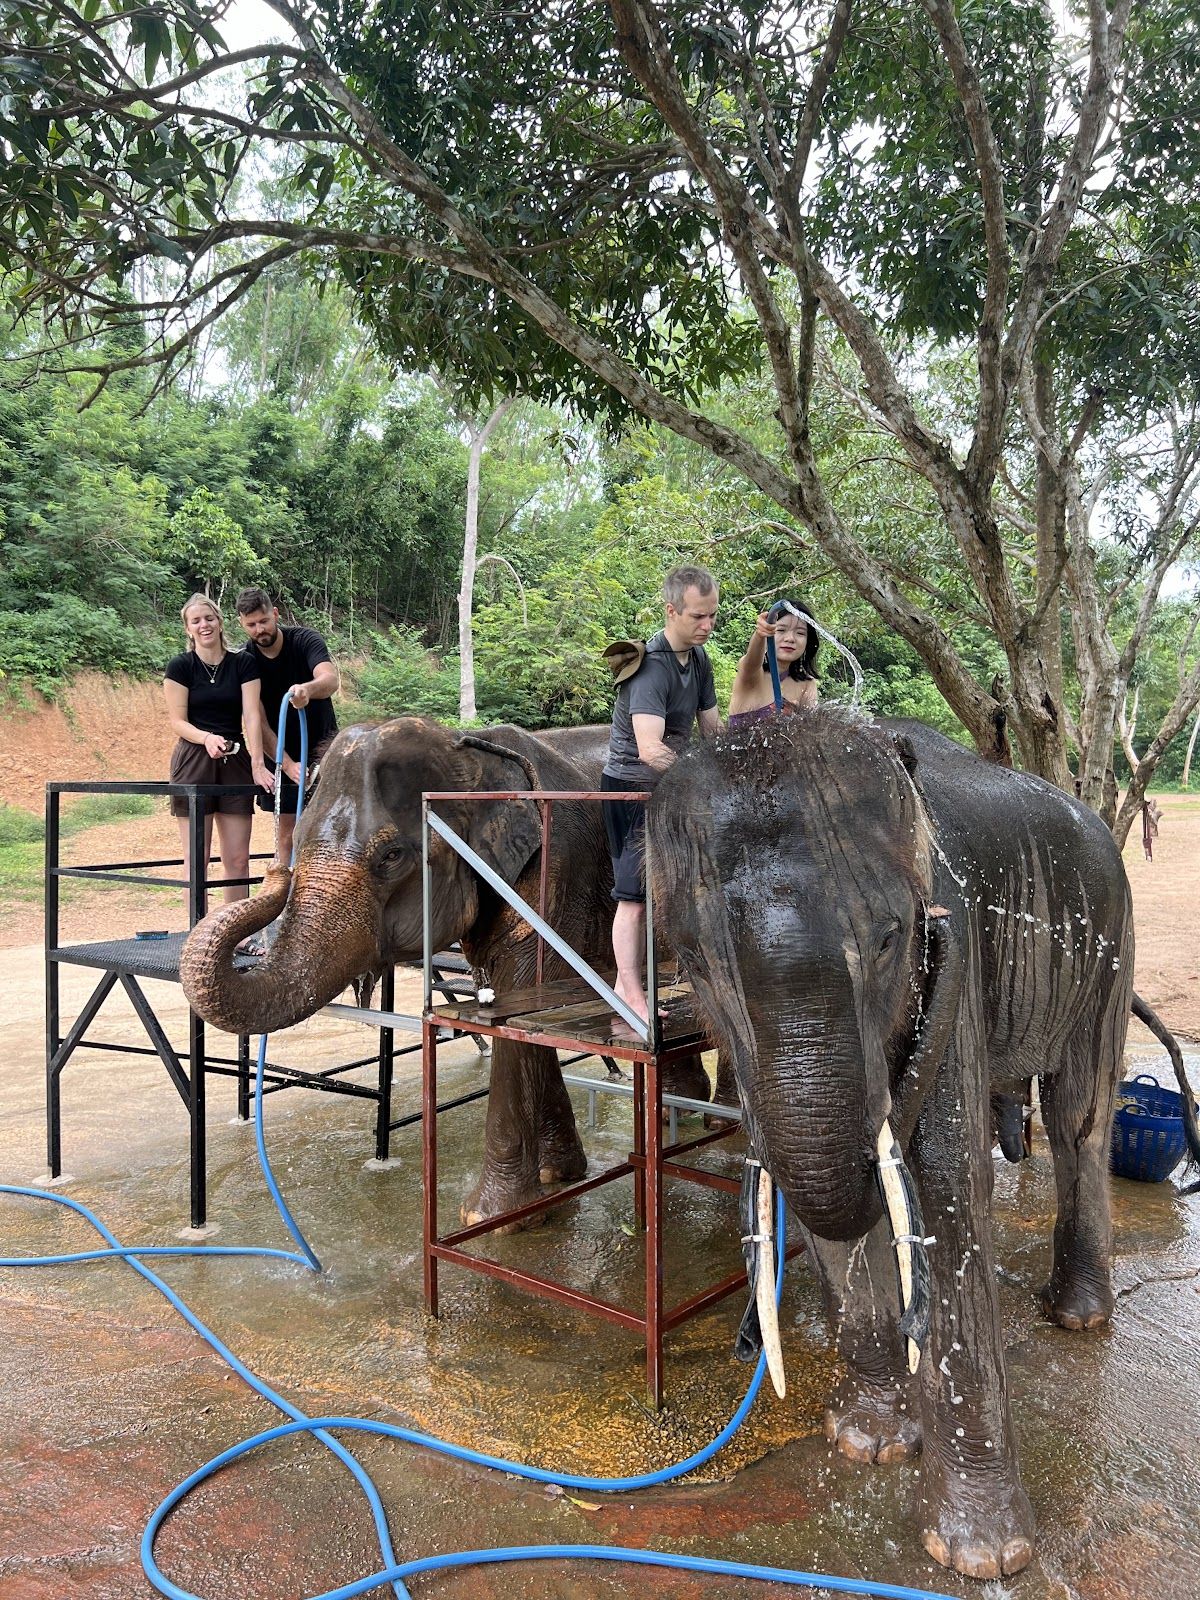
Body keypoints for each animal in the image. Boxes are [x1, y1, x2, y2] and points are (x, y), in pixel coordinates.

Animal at [180, 716, 711, 1222]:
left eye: (391, 856)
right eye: (301, 839)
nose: (273, 873)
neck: (472, 755)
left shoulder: (558, 868)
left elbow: (522, 1002)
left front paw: (492, 1215)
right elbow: (521, 1012)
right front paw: (557, 1174)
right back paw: (679, 1107)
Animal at [647, 704, 1189, 1581]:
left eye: (893, 939)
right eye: (691, 961)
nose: (746, 1344)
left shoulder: (955, 961)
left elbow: (946, 1188)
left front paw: (981, 1557)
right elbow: (842, 1212)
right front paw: (868, 1445)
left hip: (1111, 938)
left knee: (1079, 1114)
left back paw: (1076, 1316)